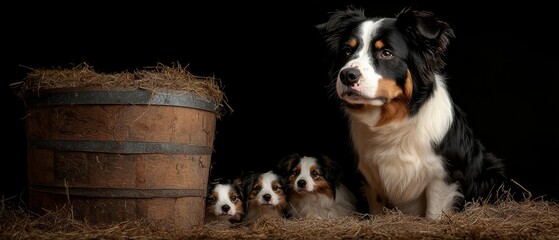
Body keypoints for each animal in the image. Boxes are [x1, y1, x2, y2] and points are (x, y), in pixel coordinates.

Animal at [318, 6, 510, 219]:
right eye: (347, 51)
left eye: (386, 53)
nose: (346, 75)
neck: (394, 122)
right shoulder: (371, 177)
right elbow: (377, 208)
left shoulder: (442, 176)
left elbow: (434, 214)